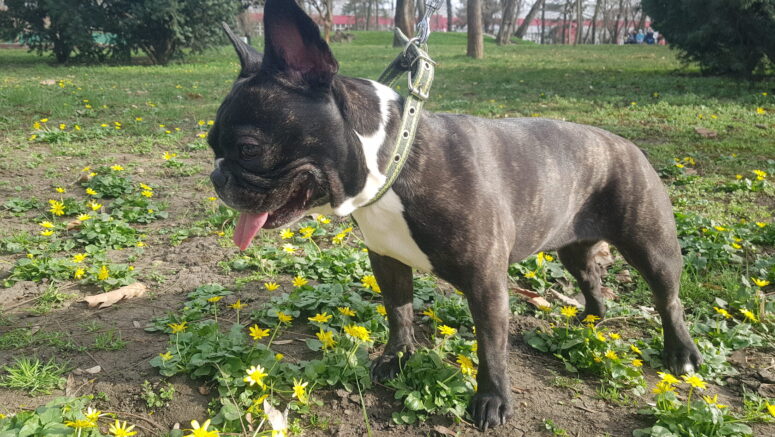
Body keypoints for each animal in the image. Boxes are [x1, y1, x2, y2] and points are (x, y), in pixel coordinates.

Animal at [209, 0, 702, 430]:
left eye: (247, 149)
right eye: (212, 145)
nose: (216, 176)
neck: (394, 159)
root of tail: (626, 144)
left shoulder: (486, 282)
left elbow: (490, 345)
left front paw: (492, 401)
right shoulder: (388, 261)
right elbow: (400, 312)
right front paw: (396, 358)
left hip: (651, 245)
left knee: (668, 299)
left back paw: (681, 354)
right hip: (573, 248)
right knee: (592, 282)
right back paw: (588, 321)